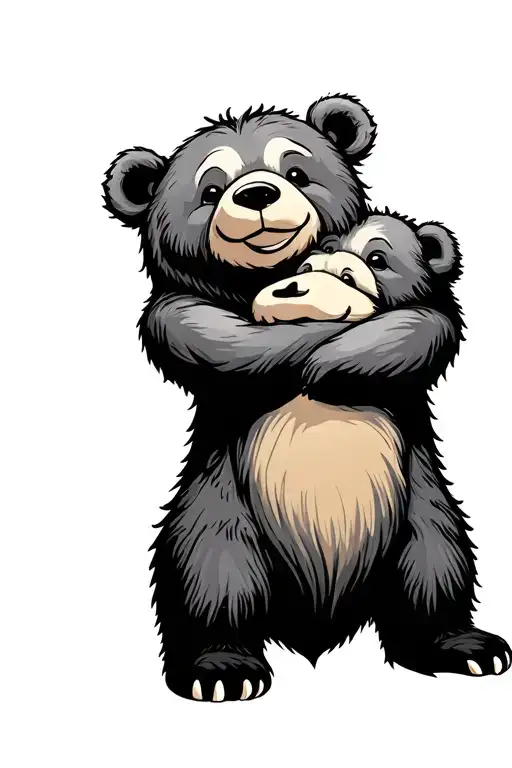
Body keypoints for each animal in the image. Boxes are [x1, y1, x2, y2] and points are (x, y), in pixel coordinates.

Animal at [103, 98, 511, 703]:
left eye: (296, 171)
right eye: (210, 188)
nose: (256, 193)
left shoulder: (425, 318)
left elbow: (419, 329)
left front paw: (332, 356)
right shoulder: (179, 310)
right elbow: (209, 335)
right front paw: (300, 341)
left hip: (417, 509)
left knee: (435, 568)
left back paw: (460, 646)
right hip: (221, 508)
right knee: (211, 575)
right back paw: (221, 666)